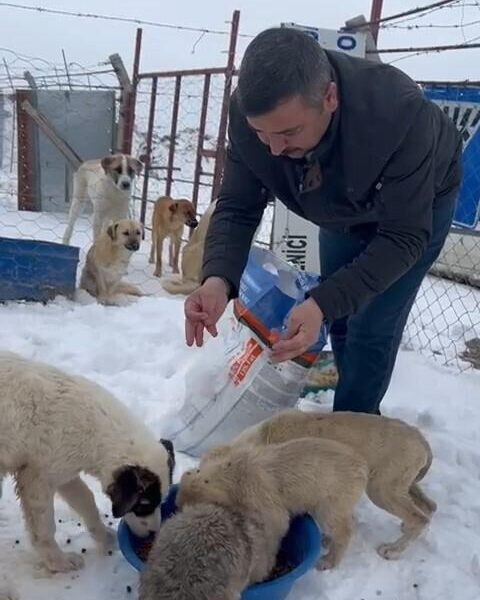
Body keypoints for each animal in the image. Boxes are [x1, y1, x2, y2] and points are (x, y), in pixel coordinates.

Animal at [176, 438, 368, 568]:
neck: (232, 472)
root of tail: (362, 465)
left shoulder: (256, 491)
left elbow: (276, 522)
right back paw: (328, 539)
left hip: (332, 491)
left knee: (337, 523)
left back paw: (328, 560)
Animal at [202, 410, 436, 560]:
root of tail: (422, 439)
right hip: (401, 485)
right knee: (429, 507)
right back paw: (406, 529)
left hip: (381, 489)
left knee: (420, 517)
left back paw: (393, 550)